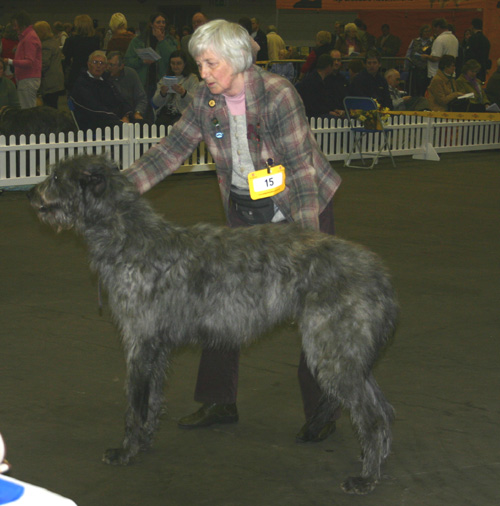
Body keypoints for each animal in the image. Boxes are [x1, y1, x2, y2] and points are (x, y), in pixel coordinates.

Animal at [29, 154, 398, 494]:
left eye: (57, 176)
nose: (31, 193)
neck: (128, 238)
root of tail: (380, 273)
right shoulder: (156, 347)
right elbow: (152, 400)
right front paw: (145, 440)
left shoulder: (139, 340)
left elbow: (134, 404)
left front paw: (125, 451)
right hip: (350, 352)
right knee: (382, 409)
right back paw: (376, 462)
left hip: (332, 350)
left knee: (372, 417)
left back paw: (366, 478)